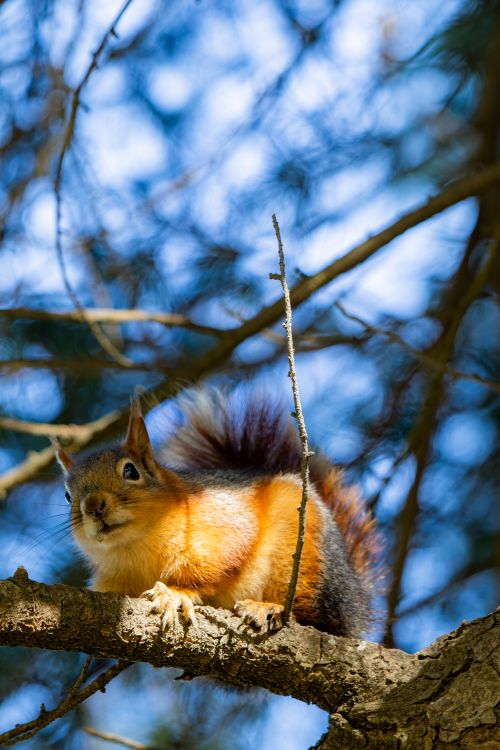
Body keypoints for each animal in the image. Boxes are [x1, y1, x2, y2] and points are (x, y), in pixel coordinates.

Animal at [54, 388, 381, 636]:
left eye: (130, 471)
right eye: (68, 495)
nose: (93, 505)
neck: (136, 547)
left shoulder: (224, 520)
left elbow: (219, 562)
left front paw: (175, 593)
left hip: (304, 558)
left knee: (309, 615)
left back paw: (269, 608)